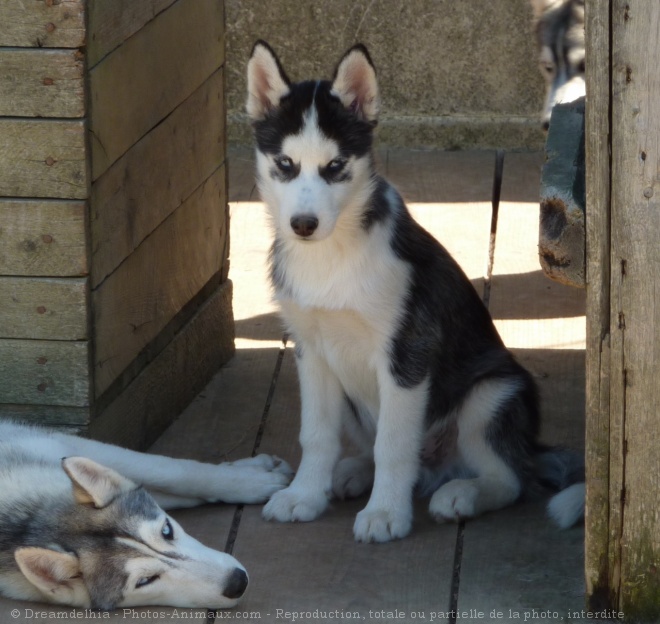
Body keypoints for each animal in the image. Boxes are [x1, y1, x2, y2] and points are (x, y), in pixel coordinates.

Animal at [0, 422, 292, 608]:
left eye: (167, 530)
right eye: (145, 581)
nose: (238, 582)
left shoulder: (61, 443)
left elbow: (171, 472)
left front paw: (252, 480)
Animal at [246, 41, 584, 544]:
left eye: (335, 167)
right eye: (285, 165)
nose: (303, 225)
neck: (332, 257)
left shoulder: (407, 353)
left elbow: (393, 443)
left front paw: (386, 513)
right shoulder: (312, 351)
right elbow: (317, 435)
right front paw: (305, 494)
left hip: (491, 393)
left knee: (509, 479)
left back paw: (462, 493)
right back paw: (353, 473)